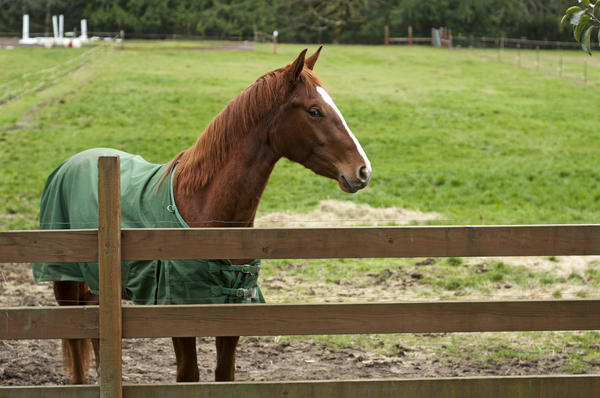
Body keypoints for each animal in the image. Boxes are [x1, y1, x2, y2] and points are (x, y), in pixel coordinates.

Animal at [34, 45, 370, 382]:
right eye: (314, 111)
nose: (363, 170)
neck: (205, 212)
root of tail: (70, 164)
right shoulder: (179, 312)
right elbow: (189, 375)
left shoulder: (233, 308)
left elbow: (224, 375)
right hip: (64, 282)